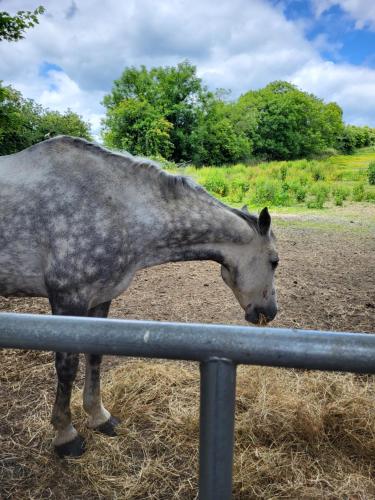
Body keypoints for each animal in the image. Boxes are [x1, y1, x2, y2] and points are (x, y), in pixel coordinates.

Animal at [0, 136, 278, 458]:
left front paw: (99, 417)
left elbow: (95, 356)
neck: (116, 207)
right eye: (274, 261)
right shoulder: (68, 299)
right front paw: (66, 434)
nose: (270, 312)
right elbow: (67, 368)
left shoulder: (99, 299)